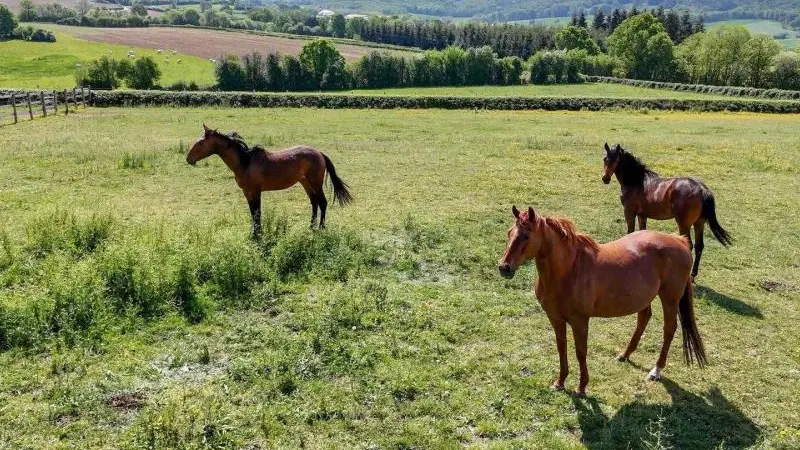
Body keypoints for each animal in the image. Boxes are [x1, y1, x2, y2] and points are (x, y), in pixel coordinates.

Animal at [186, 124, 352, 236]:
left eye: (199, 143)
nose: (188, 159)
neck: (245, 162)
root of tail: (319, 153)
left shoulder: (256, 191)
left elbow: (257, 212)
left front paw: (257, 233)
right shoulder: (247, 192)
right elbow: (252, 212)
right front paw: (254, 232)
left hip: (315, 183)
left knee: (322, 202)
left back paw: (321, 227)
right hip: (305, 183)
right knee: (314, 202)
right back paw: (311, 226)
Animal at [498, 206, 706, 396]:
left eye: (526, 236)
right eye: (509, 233)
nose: (504, 268)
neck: (569, 270)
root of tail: (679, 241)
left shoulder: (580, 321)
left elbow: (581, 352)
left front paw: (581, 387)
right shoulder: (555, 318)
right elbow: (561, 347)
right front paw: (560, 382)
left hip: (670, 299)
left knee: (669, 330)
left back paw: (656, 370)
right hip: (644, 298)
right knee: (644, 318)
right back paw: (625, 355)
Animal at [601, 143, 731, 278]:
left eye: (615, 160)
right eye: (605, 159)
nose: (605, 178)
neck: (637, 181)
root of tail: (701, 189)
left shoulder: (629, 212)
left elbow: (630, 231)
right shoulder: (642, 215)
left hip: (684, 224)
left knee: (689, 244)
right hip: (699, 223)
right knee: (699, 246)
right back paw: (693, 274)